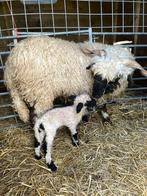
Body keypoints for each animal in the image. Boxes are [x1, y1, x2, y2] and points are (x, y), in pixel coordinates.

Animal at [3, 35, 147, 122]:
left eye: (116, 77)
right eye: (95, 73)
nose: (95, 93)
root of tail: (15, 58)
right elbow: (102, 105)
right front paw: (105, 117)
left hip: (14, 88)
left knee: (19, 105)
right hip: (40, 91)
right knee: (38, 114)